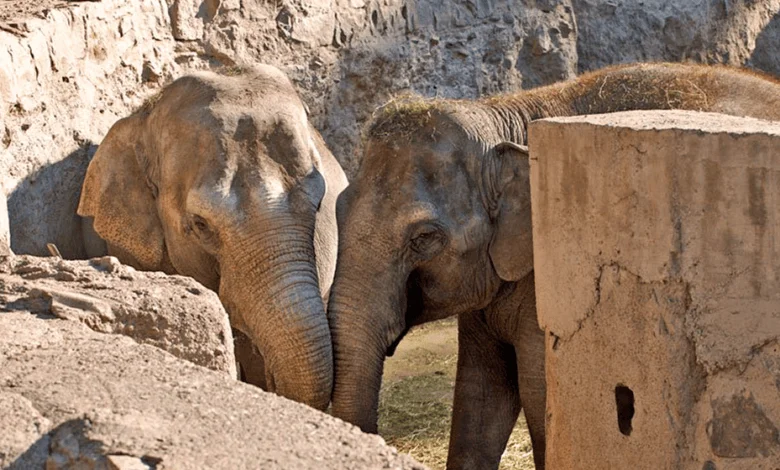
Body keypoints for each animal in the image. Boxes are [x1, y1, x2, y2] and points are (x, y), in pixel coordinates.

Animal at [326, 62, 780, 469]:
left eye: (423, 238)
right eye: (339, 208)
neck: (505, 116)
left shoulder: (546, 280)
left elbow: (538, 391)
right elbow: (480, 391)